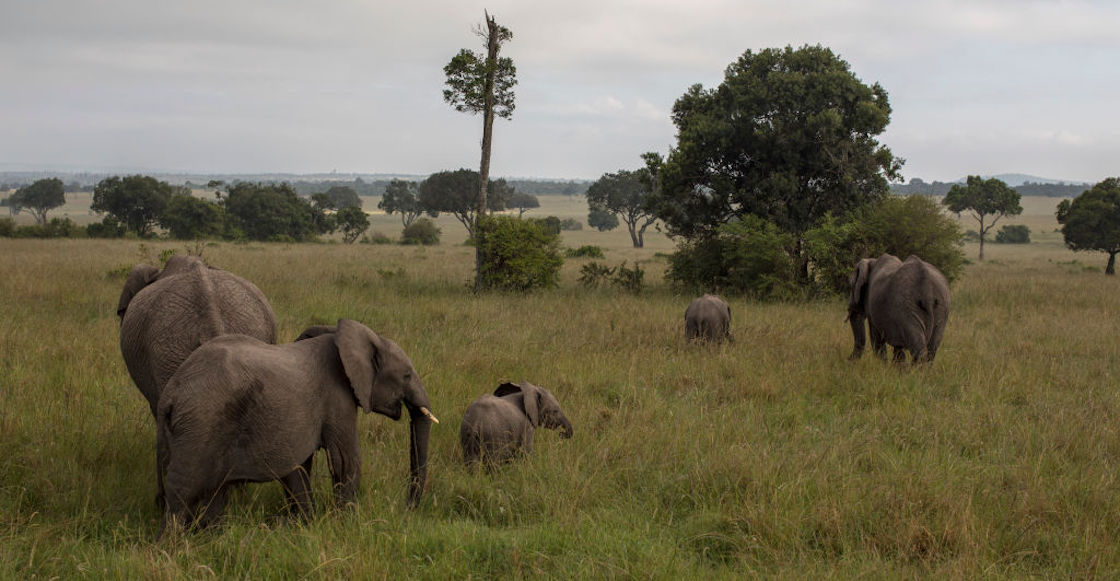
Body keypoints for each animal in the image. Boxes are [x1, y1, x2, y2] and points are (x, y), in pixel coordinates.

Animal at [157, 320, 436, 535]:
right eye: (406, 376)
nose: (407, 508)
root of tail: (171, 393)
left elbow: (299, 466)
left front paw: (305, 525)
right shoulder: (337, 396)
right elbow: (344, 460)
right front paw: (347, 524)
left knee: (214, 489)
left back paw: (213, 537)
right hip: (199, 423)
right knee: (183, 489)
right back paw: (173, 546)